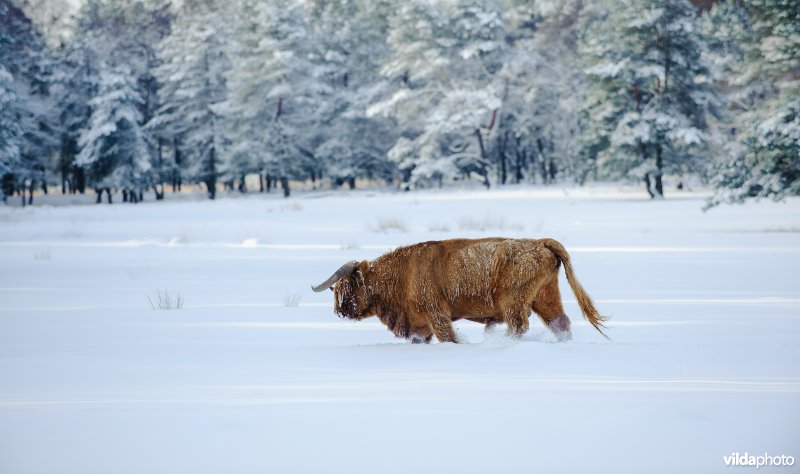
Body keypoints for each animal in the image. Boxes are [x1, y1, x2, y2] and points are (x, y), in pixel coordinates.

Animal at [312, 239, 608, 342]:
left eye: (346, 286)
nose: (339, 311)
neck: (403, 272)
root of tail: (540, 243)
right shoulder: (421, 325)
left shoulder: (436, 315)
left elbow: (447, 336)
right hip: (546, 298)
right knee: (560, 323)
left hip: (514, 304)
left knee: (519, 326)